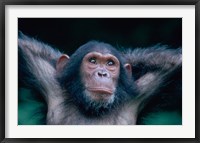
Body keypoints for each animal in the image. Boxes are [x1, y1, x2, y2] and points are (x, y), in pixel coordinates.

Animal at [18, 32, 182, 124]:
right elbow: (23, 46)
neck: (93, 109)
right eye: (93, 61)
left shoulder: (146, 88)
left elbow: (176, 62)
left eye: (110, 63)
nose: (102, 73)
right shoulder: (45, 78)